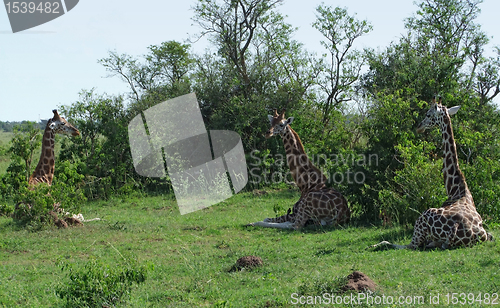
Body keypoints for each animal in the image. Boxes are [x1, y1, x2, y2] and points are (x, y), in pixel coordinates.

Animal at [372, 98, 492, 250]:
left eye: (428, 115)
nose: (419, 127)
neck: (455, 188)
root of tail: (458, 229)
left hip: (423, 216)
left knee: (407, 245)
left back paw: (374, 245)